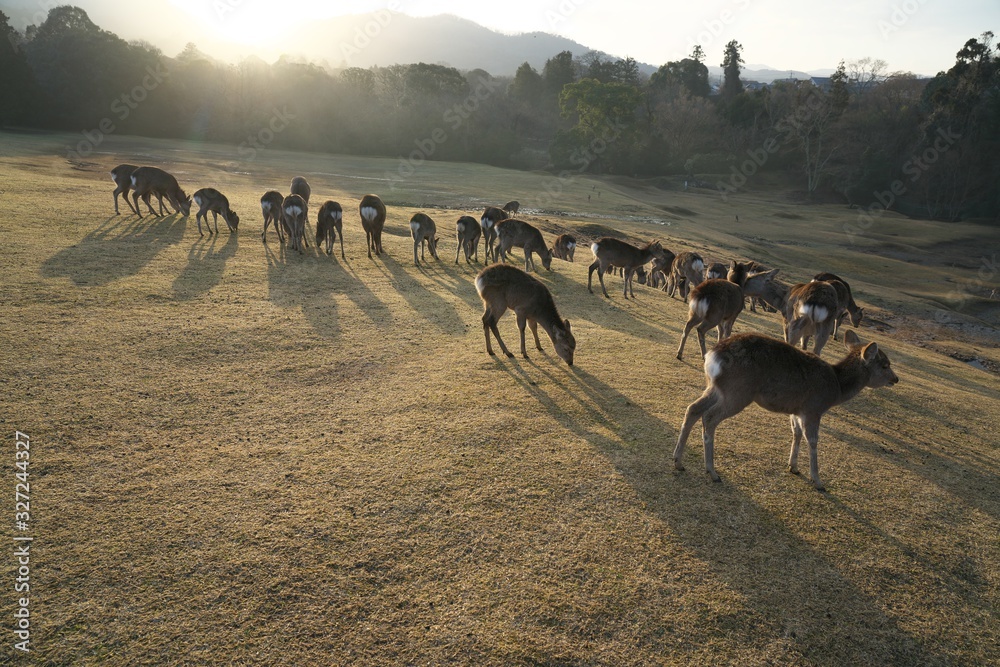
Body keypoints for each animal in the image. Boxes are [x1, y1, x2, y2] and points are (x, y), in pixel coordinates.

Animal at [673, 330, 899, 491]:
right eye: (885, 365)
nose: (896, 379)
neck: (836, 388)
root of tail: (713, 355)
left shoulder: (796, 409)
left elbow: (796, 433)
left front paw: (794, 467)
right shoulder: (813, 408)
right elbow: (813, 440)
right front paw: (818, 481)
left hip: (715, 387)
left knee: (693, 408)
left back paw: (678, 462)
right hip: (738, 392)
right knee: (709, 417)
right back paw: (712, 472)